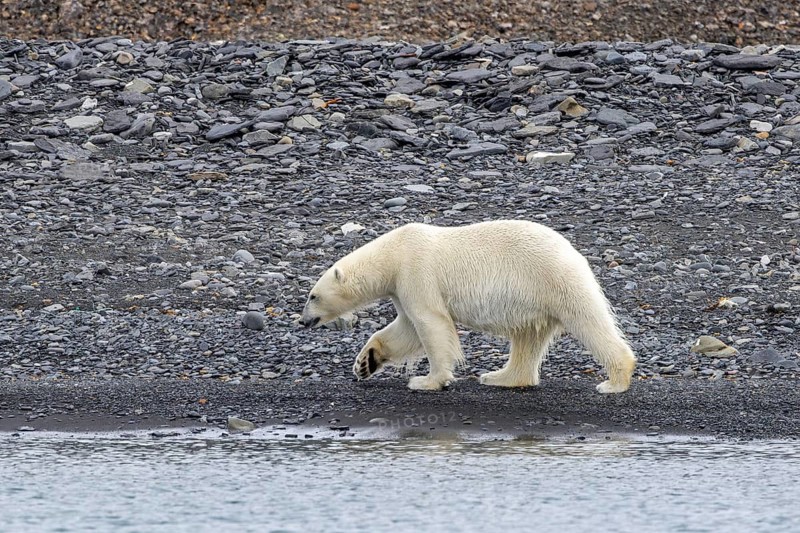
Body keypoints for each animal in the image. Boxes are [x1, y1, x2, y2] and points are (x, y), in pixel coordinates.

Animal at [301, 220, 636, 394]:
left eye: (312, 296)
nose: (303, 321)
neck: (393, 254)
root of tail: (573, 251)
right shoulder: (401, 287)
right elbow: (405, 330)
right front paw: (364, 363)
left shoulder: (416, 272)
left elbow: (431, 324)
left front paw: (426, 381)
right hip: (534, 300)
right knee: (528, 337)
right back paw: (500, 377)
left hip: (554, 279)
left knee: (588, 321)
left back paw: (614, 381)